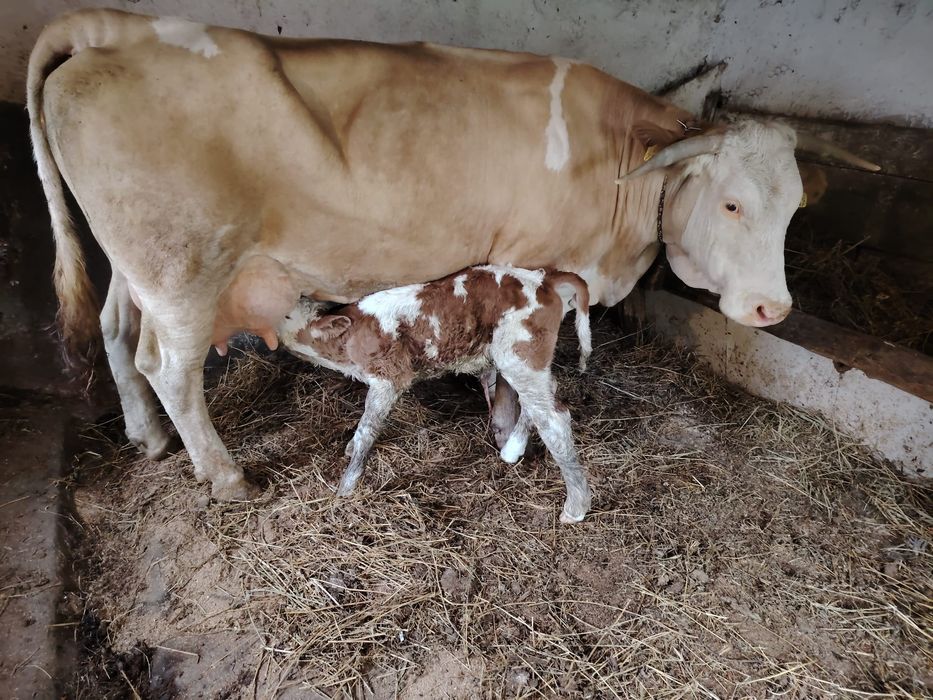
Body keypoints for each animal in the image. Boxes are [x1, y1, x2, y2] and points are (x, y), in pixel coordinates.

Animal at [278, 264, 592, 522]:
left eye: (286, 314)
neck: (348, 341)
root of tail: (543, 278)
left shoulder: (389, 377)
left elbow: (367, 428)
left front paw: (346, 485)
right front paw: (350, 450)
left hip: (520, 353)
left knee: (554, 419)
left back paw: (576, 507)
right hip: (527, 361)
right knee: (542, 399)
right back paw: (512, 449)